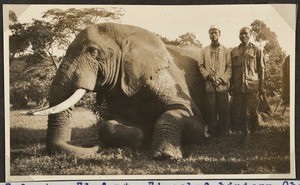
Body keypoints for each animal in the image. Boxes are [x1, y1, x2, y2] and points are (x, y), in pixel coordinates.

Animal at [28, 22, 206, 160]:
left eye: (93, 52)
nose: (95, 148)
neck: (126, 31)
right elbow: (108, 125)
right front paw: (141, 135)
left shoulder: (164, 76)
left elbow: (184, 116)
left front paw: (165, 155)